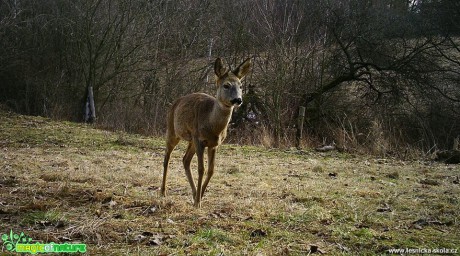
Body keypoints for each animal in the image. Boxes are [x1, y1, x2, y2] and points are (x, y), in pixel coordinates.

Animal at [162, 57, 252, 207]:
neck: (212, 125)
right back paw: (163, 192)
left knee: (185, 160)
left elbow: (211, 170)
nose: (238, 100)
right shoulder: (199, 140)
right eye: (226, 85)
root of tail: (175, 102)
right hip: (173, 131)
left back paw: (193, 193)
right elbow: (201, 169)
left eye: (240, 86)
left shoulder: (214, 144)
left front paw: (200, 196)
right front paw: (198, 202)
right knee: (167, 158)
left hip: (191, 139)